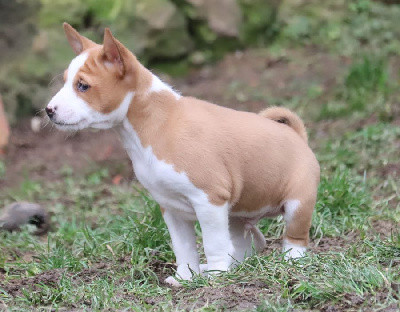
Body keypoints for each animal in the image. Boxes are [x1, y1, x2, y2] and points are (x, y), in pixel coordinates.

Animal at [47, 23, 320, 288]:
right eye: (65, 82)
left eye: (83, 86)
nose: (49, 110)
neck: (153, 126)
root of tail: (297, 135)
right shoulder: (171, 208)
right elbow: (184, 248)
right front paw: (185, 278)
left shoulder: (209, 200)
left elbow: (213, 243)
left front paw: (217, 276)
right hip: (237, 214)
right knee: (252, 242)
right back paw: (230, 268)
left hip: (296, 204)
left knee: (295, 239)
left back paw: (287, 264)